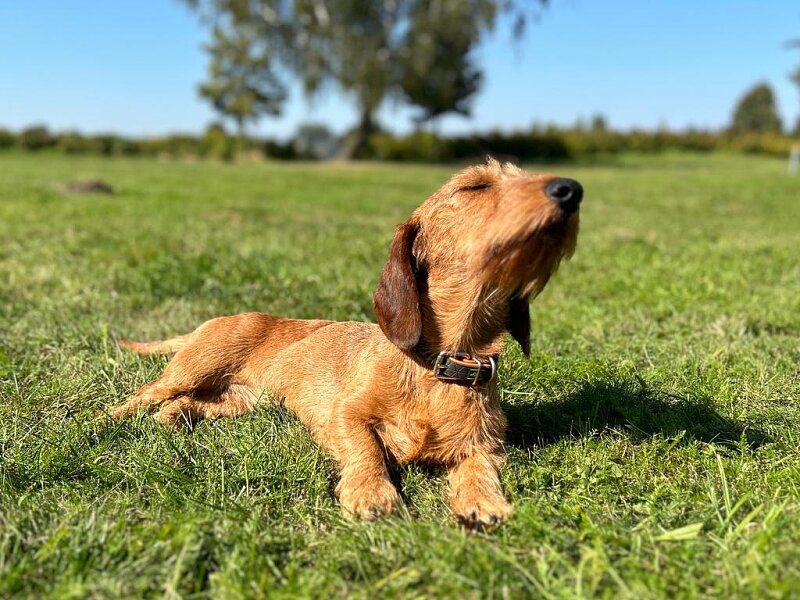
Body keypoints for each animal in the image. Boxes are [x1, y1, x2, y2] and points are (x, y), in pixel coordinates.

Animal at [106, 159, 580, 528]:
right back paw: (103, 422)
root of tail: (222, 317)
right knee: (143, 394)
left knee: (188, 404)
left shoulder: (484, 444)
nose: (571, 190)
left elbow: (479, 466)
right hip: (193, 367)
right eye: (474, 186)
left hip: (242, 401)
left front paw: (484, 500)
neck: (440, 364)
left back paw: (174, 417)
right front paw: (373, 493)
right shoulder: (346, 414)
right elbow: (365, 447)